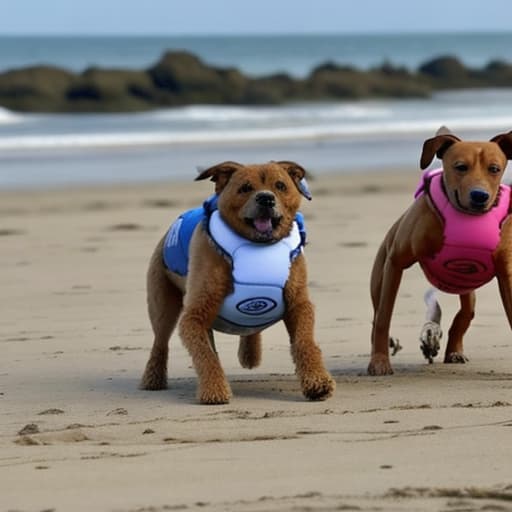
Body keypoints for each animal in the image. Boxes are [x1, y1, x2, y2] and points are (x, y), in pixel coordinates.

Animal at [139, 160, 336, 404]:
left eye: (280, 185)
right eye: (245, 188)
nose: (266, 198)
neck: (258, 246)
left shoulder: (298, 304)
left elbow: (305, 342)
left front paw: (317, 382)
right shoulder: (196, 314)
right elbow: (206, 355)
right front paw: (214, 390)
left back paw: (250, 354)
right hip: (162, 301)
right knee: (161, 341)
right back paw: (153, 379)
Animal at [368, 130, 512, 374]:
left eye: (494, 168)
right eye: (460, 166)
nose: (479, 195)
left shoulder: (506, 274)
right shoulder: (395, 263)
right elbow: (384, 317)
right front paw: (379, 361)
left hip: (466, 285)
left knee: (466, 313)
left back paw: (453, 351)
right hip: (380, 275)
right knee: (377, 312)